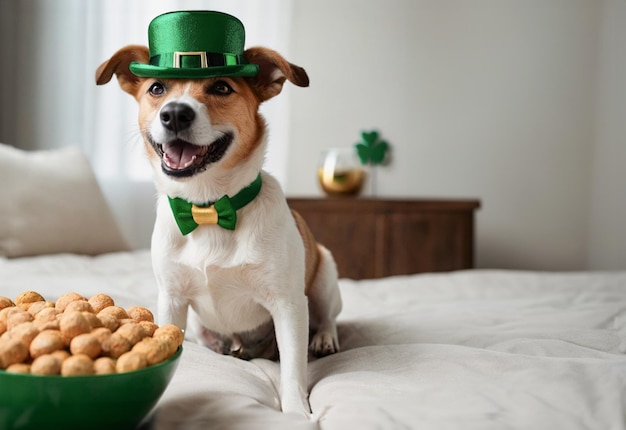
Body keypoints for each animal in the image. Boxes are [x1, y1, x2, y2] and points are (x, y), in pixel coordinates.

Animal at [95, 10, 342, 416]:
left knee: (327, 318)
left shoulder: (288, 305)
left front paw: (296, 411)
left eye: (222, 88)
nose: (174, 114)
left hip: (324, 277)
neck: (208, 208)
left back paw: (323, 339)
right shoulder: (172, 301)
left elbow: (293, 368)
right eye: (157, 89)